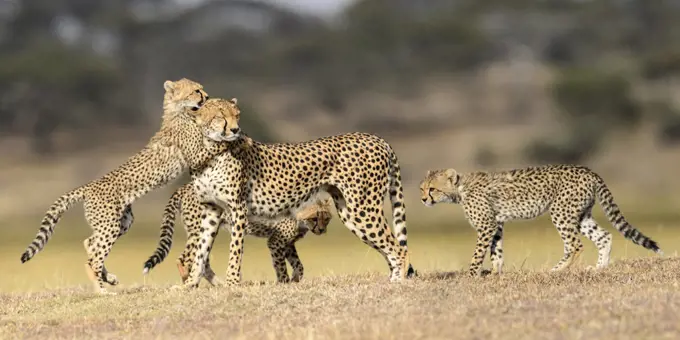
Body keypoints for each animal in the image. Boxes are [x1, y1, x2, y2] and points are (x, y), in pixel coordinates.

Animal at [19, 80, 243, 294]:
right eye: (196, 90)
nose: (206, 96)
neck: (179, 111)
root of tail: (89, 186)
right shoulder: (197, 153)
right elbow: (216, 143)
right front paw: (233, 136)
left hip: (121, 222)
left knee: (90, 243)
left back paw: (109, 278)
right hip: (109, 225)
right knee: (94, 258)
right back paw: (102, 290)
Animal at [143, 182, 334, 286]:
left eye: (326, 218)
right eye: (315, 218)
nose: (322, 230)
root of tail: (184, 186)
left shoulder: (287, 243)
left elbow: (299, 265)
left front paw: (295, 278)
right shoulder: (275, 241)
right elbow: (280, 265)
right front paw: (284, 281)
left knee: (202, 261)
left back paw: (217, 283)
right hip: (199, 231)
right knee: (185, 258)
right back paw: (189, 280)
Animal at [182, 129, 414, 288]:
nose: (321, 229)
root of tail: (376, 138)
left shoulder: (239, 211)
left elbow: (236, 250)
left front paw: (233, 284)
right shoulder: (213, 211)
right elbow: (202, 251)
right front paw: (190, 285)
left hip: (362, 208)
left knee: (398, 249)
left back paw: (398, 282)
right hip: (349, 211)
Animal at [420, 164, 664, 276]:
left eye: (432, 189)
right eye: (422, 188)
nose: (423, 199)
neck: (460, 188)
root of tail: (588, 170)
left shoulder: (486, 225)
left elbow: (478, 253)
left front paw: (471, 275)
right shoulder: (496, 224)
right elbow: (496, 251)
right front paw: (496, 274)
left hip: (560, 211)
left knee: (575, 245)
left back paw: (556, 270)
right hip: (581, 214)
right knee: (603, 236)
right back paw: (599, 268)